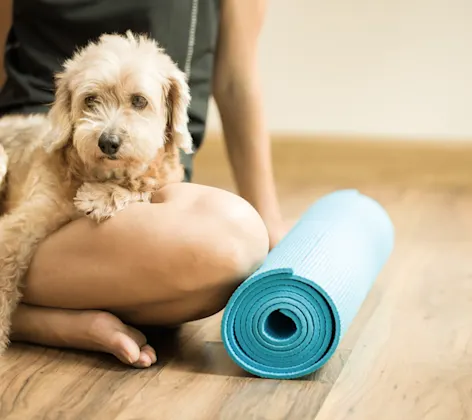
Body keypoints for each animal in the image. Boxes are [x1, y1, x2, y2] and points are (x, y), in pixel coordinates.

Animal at [0, 31, 194, 354]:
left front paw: (99, 197)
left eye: (139, 101)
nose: (108, 142)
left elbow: (142, 187)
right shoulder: (20, 225)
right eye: (90, 100)